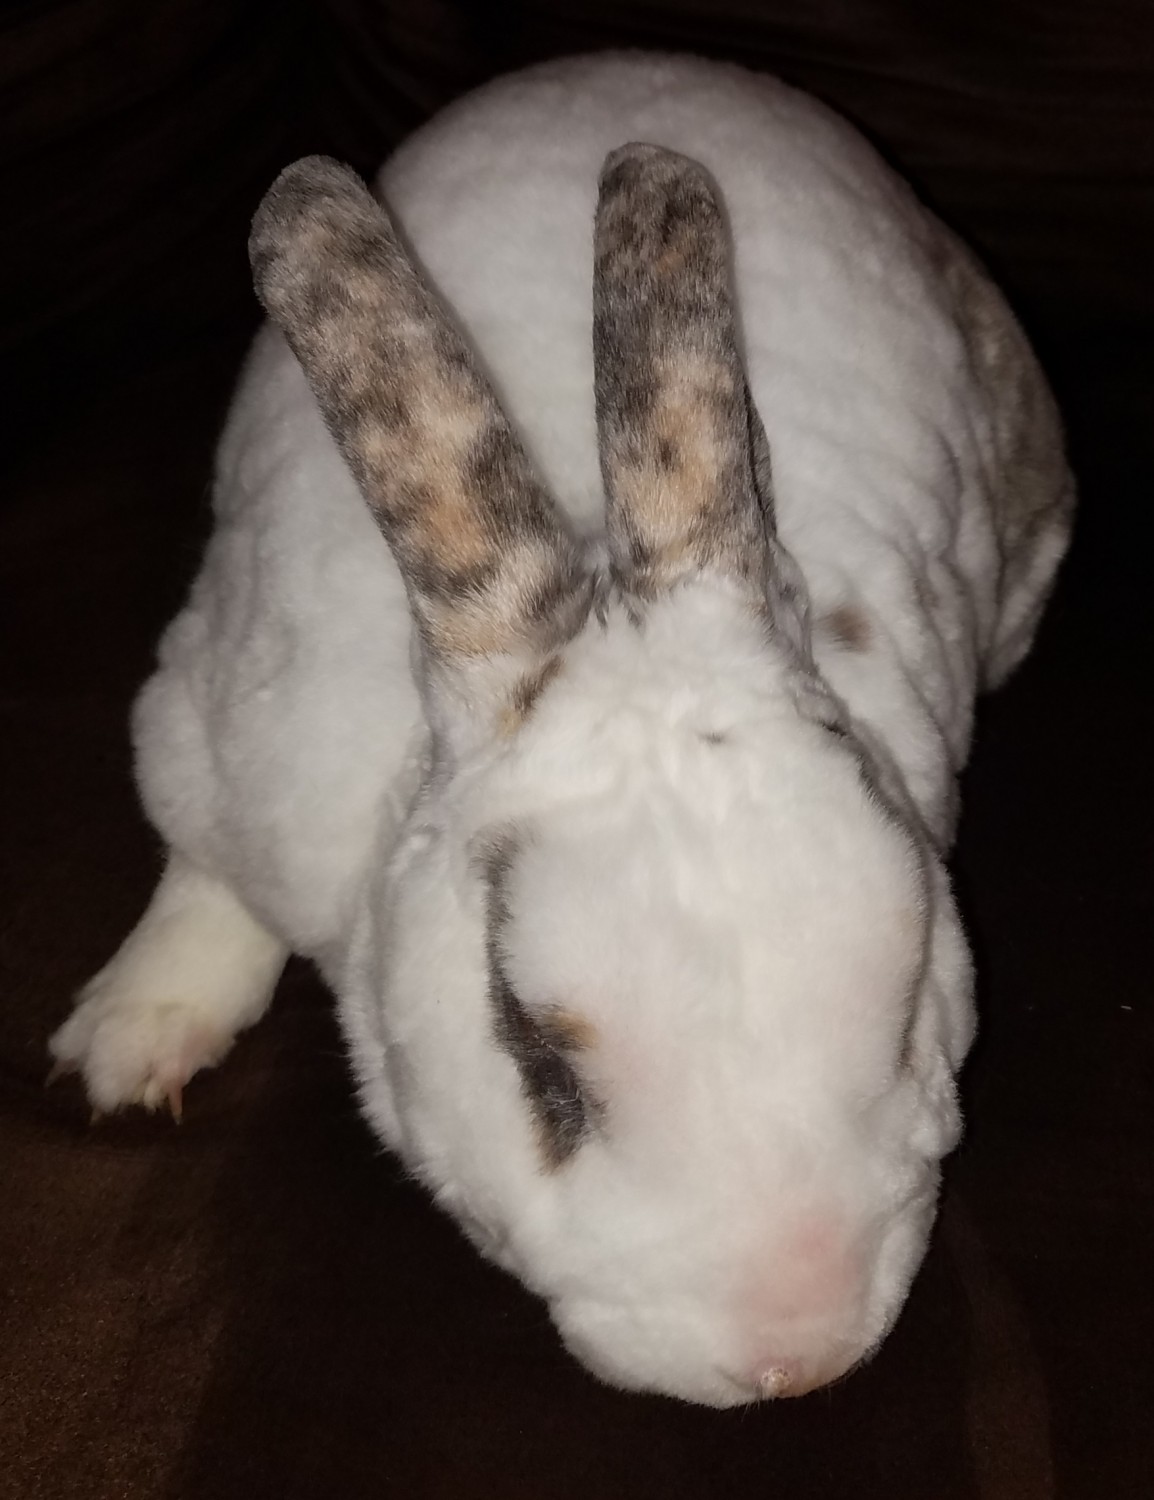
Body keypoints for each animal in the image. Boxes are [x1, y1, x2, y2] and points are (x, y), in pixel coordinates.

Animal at [48, 52, 1073, 1405]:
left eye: (906, 1006)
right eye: (538, 1061)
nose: (794, 1359)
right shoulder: (213, 735)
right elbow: (203, 879)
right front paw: (132, 1039)